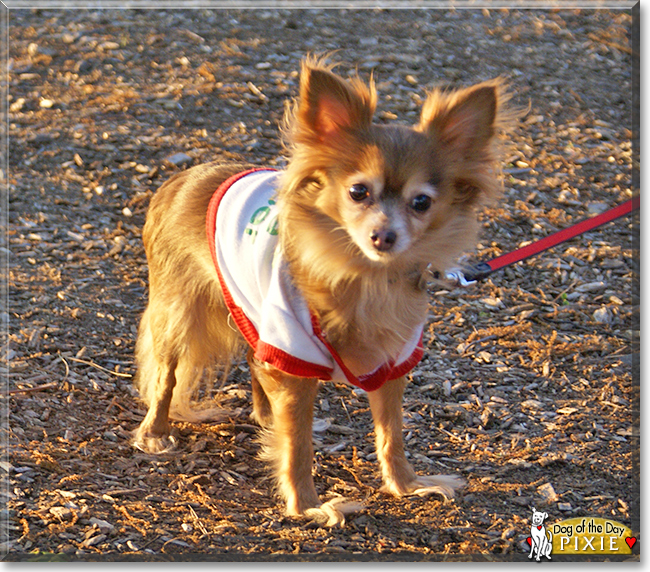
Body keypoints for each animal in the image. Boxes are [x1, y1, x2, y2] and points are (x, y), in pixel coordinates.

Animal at [133, 55, 512, 524]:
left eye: (422, 202)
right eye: (358, 191)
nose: (383, 236)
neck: (364, 280)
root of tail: (183, 177)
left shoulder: (393, 362)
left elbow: (392, 435)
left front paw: (407, 485)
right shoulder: (293, 355)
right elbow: (297, 447)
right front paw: (309, 506)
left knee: (253, 359)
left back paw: (264, 414)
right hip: (179, 315)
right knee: (166, 376)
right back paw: (156, 432)